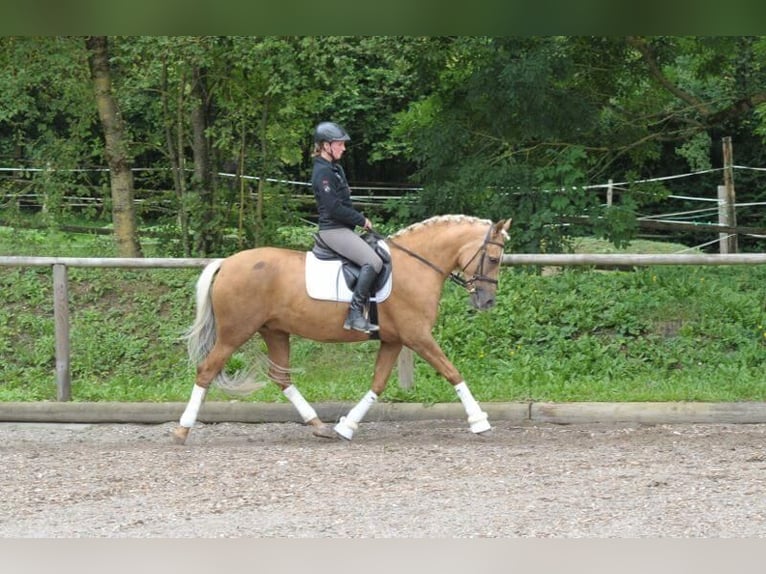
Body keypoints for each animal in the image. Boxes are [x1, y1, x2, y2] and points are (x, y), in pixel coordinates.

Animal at [171, 214, 512, 444]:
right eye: (494, 259)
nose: (487, 301)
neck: (416, 265)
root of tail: (227, 263)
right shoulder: (417, 336)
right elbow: (452, 371)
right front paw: (479, 421)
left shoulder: (393, 340)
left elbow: (378, 383)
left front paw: (346, 426)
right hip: (235, 333)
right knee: (206, 370)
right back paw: (182, 429)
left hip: (274, 331)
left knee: (281, 377)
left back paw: (319, 425)